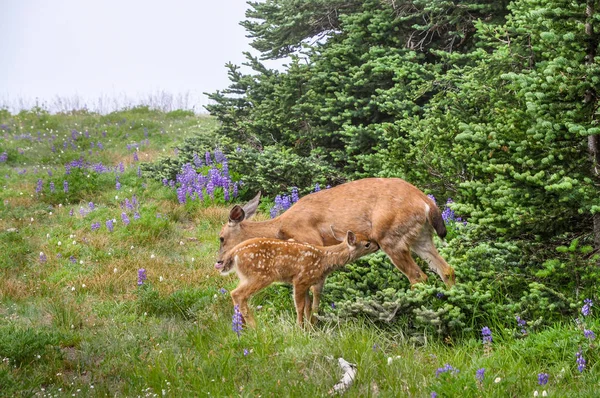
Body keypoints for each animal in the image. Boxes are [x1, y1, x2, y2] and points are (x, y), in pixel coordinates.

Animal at [214, 230, 380, 326]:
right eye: (367, 244)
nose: (378, 245)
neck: (324, 260)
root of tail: (234, 253)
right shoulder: (300, 280)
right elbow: (299, 306)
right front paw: (300, 328)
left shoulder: (311, 282)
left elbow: (310, 306)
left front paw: (312, 326)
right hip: (260, 275)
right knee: (237, 293)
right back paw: (254, 326)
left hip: (246, 276)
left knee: (237, 294)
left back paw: (241, 324)